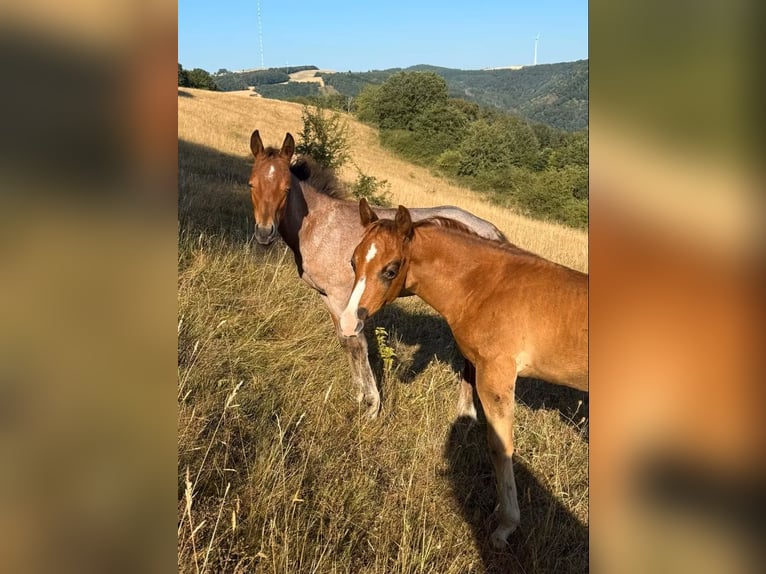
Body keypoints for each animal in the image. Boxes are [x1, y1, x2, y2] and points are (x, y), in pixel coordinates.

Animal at [248, 131, 507, 419]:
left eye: (286, 189)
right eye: (251, 184)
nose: (264, 233)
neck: (320, 226)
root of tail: (493, 232)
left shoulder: (341, 296)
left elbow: (357, 344)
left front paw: (372, 405)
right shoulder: (328, 298)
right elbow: (344, 341)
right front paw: (359, 395)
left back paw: (466, 412)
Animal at [339, 199, 588, 548]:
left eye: (391, 269)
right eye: (353, 261)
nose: (348, 323)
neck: (488, 286)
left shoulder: (496, 375)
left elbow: (500, 447)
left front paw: (505, 526)